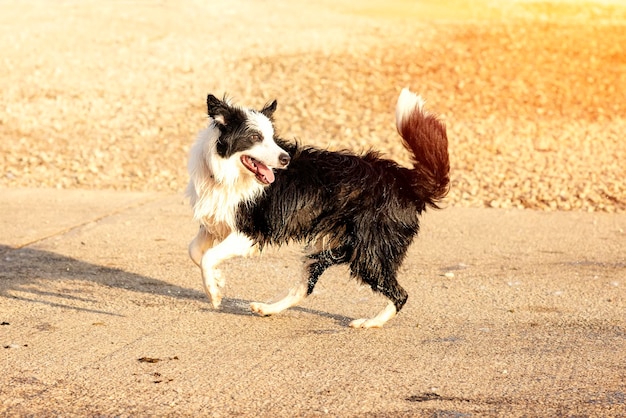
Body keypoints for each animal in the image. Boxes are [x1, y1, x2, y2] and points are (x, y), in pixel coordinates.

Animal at [186, 90, 448, 328]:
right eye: (255, 136)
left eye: (272, 137)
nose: (285, 159)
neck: (225, 174)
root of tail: (405, 182)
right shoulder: (214, 221)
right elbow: (195, 252)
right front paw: (217, 280)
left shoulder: (253, 231)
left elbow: (208, 256)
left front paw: (214, 293)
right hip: (328, 246)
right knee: (305, 287)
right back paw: (268, 308)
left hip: (370, 253)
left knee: (399, 294)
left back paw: (370, 323)